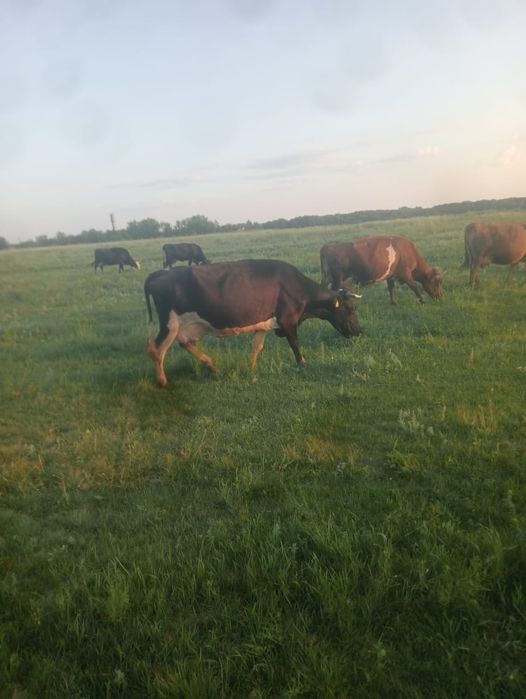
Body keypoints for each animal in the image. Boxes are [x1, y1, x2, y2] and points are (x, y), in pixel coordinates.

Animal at [144, 259, 362, 387]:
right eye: (350, 309)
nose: (359, 331)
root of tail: (159, 273)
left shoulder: (263, 324)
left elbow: (257, 347)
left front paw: (252, 368)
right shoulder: (288, 320)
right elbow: (295, 344)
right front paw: (302, 364)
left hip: (188, 326)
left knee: (186, 343)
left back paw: (212, 366)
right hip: (170, 323)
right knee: (156, 349)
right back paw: (163, 381)